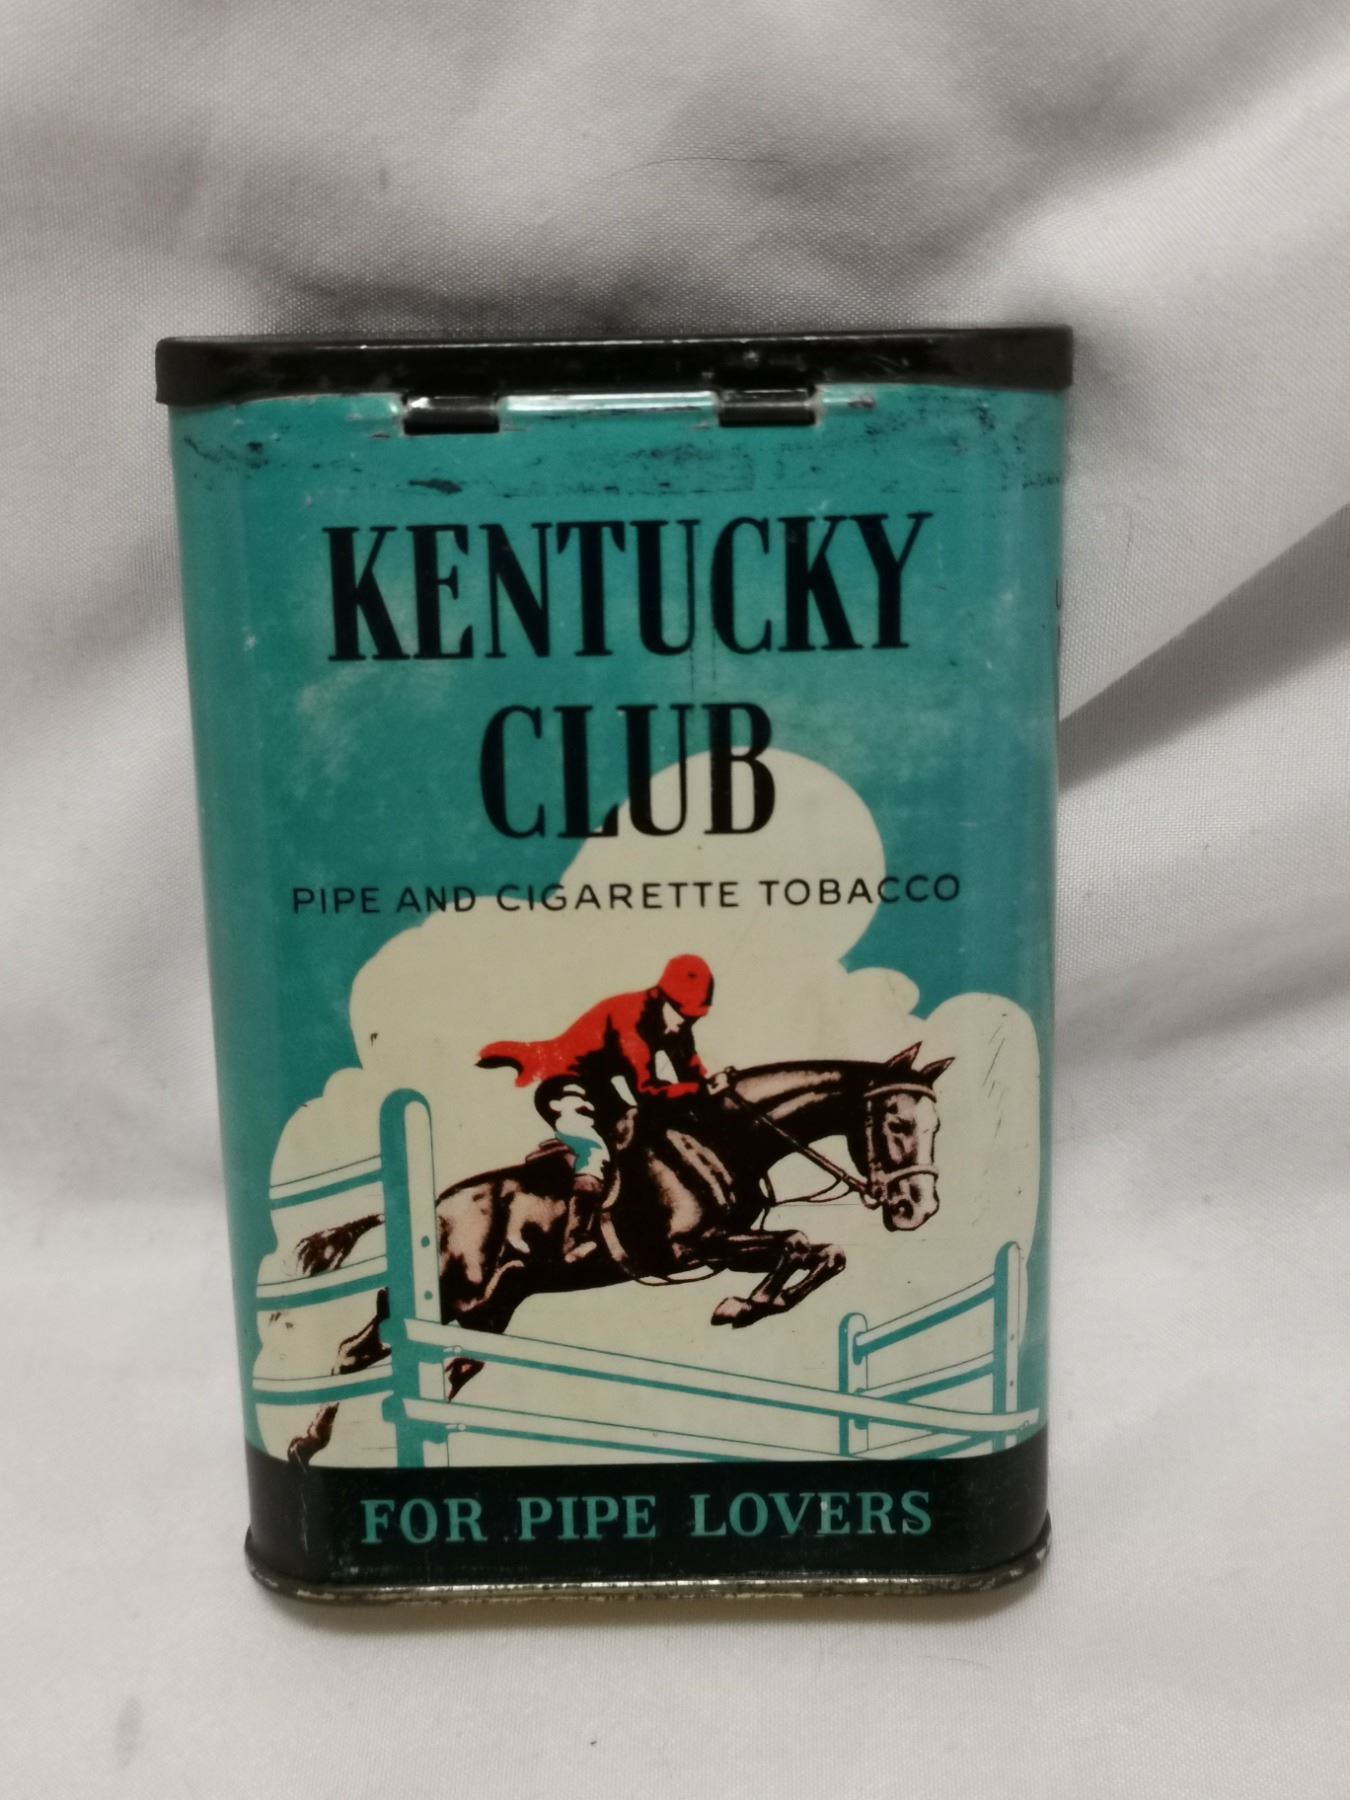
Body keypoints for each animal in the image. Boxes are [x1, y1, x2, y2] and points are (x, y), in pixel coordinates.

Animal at [285, 1042, 951, 1464]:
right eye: (894, 1122)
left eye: (936, 1126)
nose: (917, 1209)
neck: (718, 1139)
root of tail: (433, 1204)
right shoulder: (688, 1249)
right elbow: (797, 1244)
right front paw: (739, 1308)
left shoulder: (718, 1248)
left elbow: (823, 1252)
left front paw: (750, 1305)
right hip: (454, 1296)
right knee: (356, 1350)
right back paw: (305, 1443)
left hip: (492, 1310)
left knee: (454, 1366)